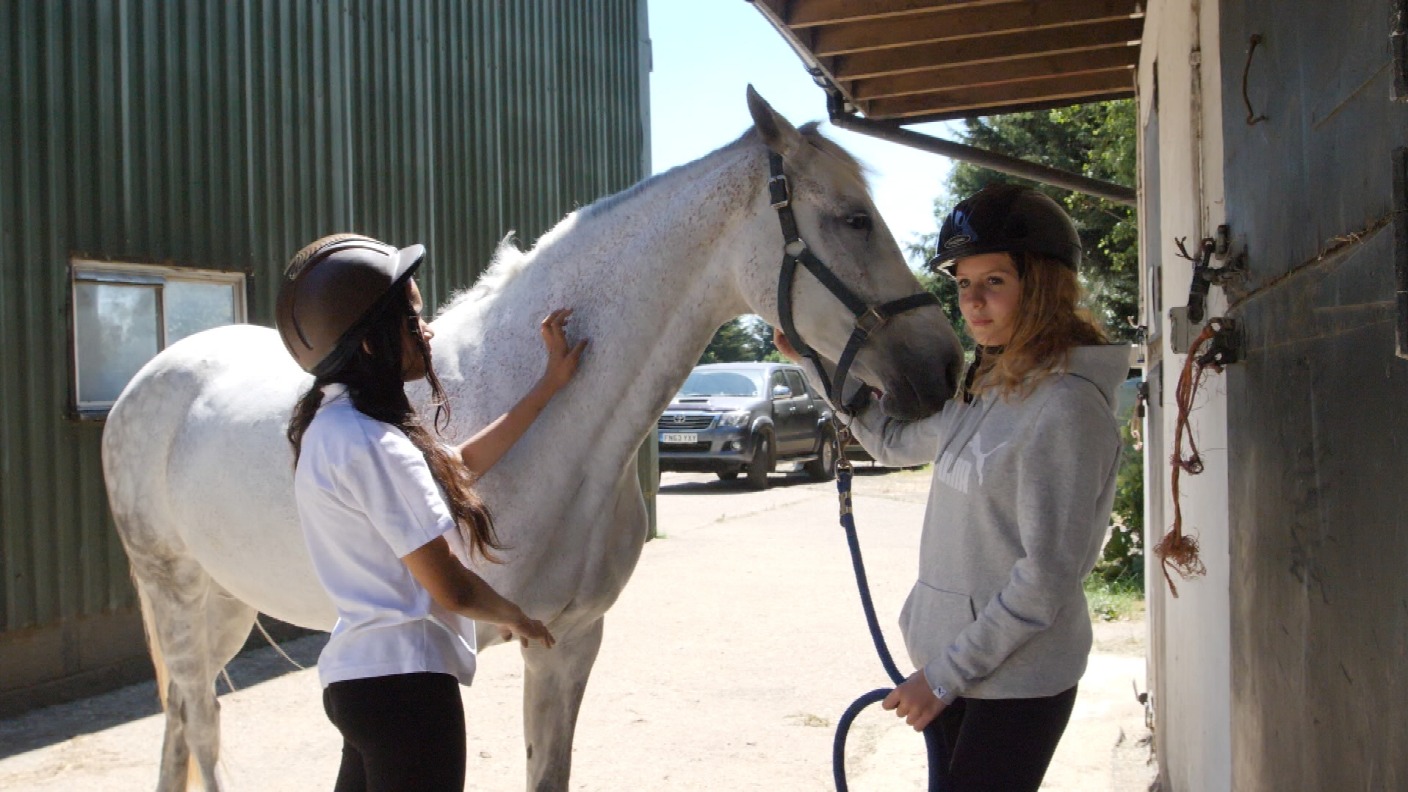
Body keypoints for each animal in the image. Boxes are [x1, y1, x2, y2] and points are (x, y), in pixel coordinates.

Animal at [102, 87, 968, 789]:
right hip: (175, 593)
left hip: (222, 603)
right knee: (200, 727)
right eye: (853, 219)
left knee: (181, 720)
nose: (946, 365)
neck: (555, 434)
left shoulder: (569, 640)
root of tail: (152, 378)